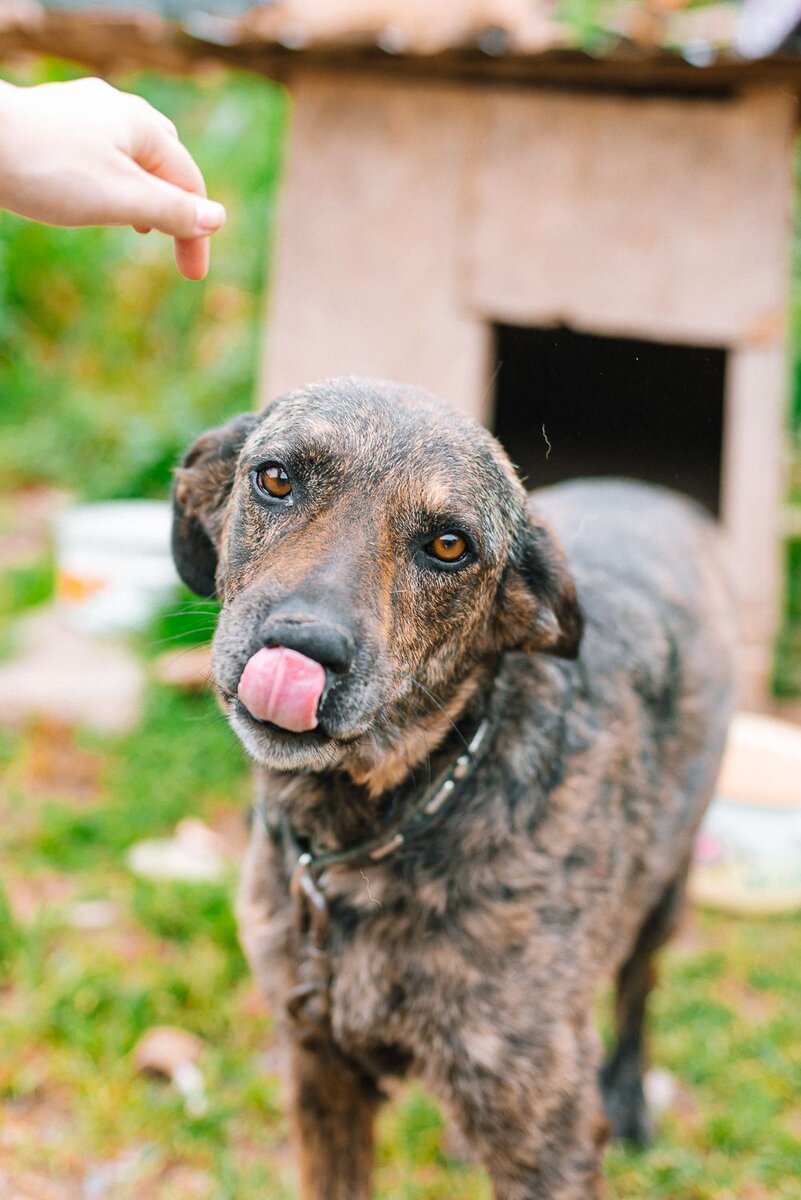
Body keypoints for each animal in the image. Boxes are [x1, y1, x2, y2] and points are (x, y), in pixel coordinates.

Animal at [172, 376, 733, 1200]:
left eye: (448, 546)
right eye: (275, 478)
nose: (303, 647)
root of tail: (652, 493)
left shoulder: (547, 1135)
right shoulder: (322, 1076)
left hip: (664, 889)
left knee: (638, 989)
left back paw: (630, 1096)